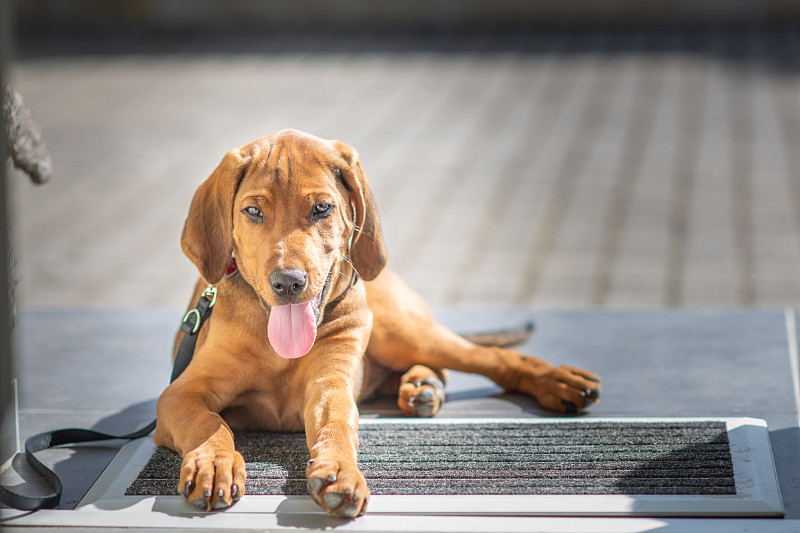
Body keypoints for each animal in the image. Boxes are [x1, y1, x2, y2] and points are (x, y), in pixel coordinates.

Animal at [155, 129, 600, 516]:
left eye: (322, 208)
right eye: (252, 211)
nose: (287, 282)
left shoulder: (330, 384)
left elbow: (337, 424)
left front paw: (340, 472)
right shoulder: (180, 393)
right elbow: (208, 421)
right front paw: (214, 462)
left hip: (400, 332)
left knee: (489, 357)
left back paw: (553, 381)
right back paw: (422, 386)